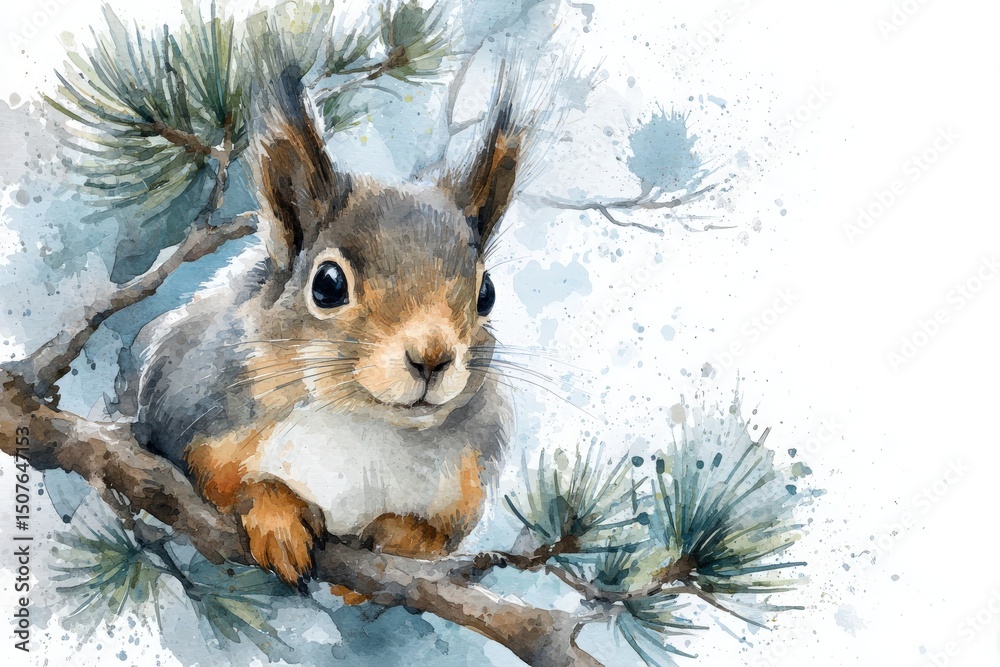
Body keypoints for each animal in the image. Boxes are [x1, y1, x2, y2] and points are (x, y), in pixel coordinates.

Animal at [119, 49, 524, 587]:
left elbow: (437, 536)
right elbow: (213, 479)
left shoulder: (466, 480)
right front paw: (276, 515)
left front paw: (401, 536)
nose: (432, 358)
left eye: (487, 293)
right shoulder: (192, 408)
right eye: (328, 284)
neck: (361, 424)